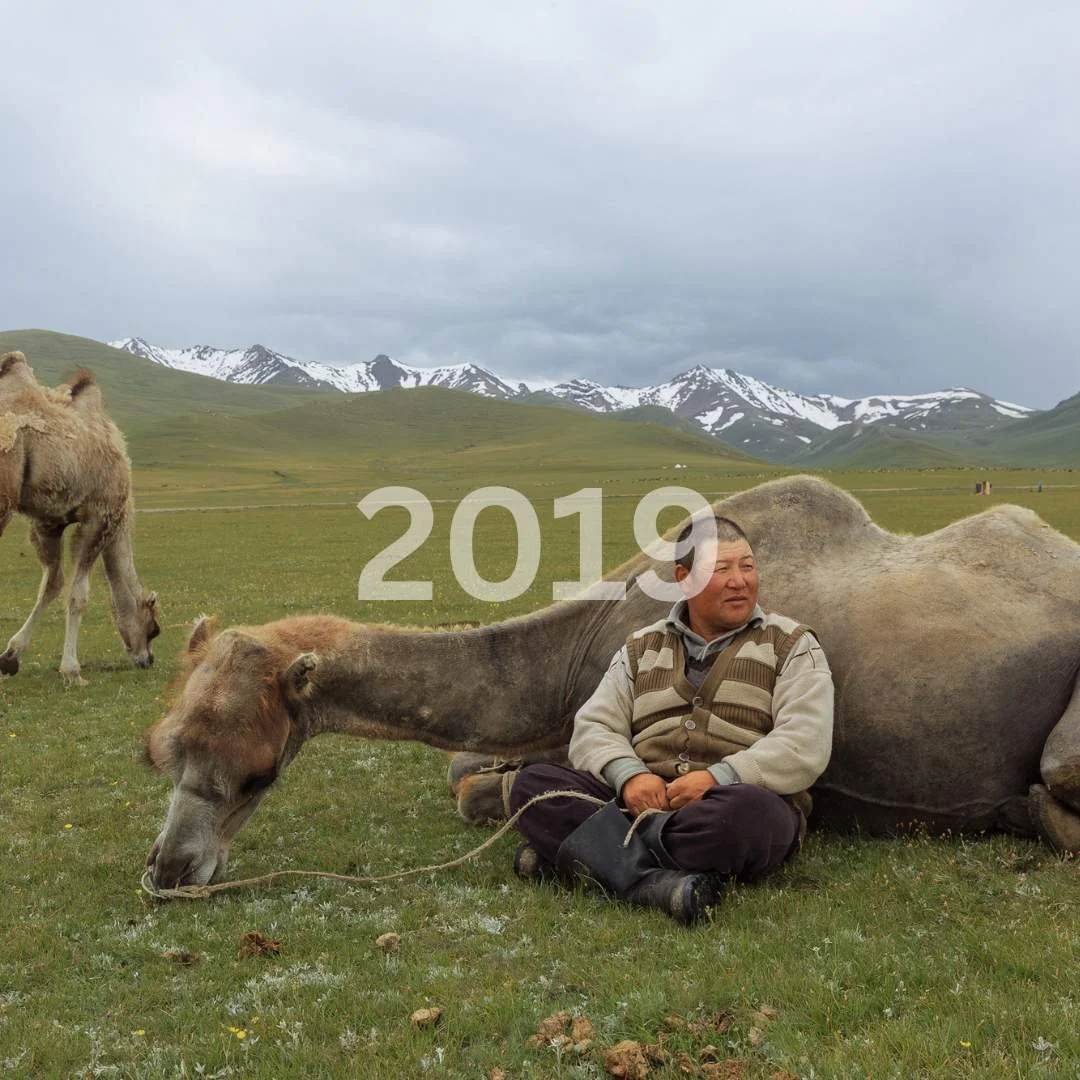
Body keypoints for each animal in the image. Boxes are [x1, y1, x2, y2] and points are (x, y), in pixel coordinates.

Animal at [0, 351, 160, 684]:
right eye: (154, 628)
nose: (147, 659)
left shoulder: (48, 522)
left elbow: (51, 584)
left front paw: (10, 657)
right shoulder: (98, 517)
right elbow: (78, 595)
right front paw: (72, 670)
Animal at [142, 475, 1080, 890]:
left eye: (258, 774)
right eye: (158, 752)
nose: (170, 868)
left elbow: (489, 788)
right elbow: (469, 772)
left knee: (1057, 780)